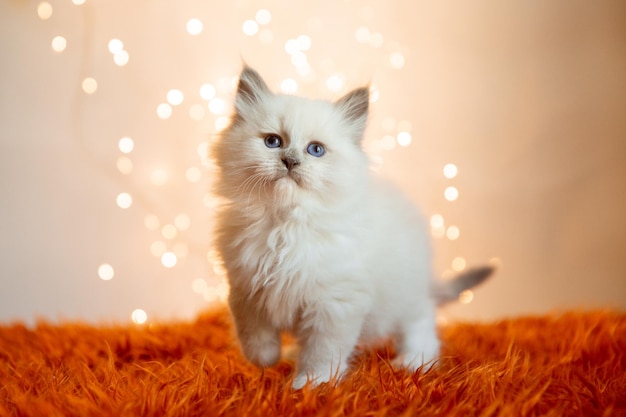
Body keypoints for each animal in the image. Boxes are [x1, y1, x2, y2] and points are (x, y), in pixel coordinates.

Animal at [210, 64, 492, 386]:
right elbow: (255, 338)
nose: (290, 161)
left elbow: (322, 352)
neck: (286, 224)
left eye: (315, 150)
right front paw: (268, 361)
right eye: (273, 142)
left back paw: (414, 362)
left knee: (421, 322)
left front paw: (309, 385)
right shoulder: (246, 291)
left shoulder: (334, 303)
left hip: (404, 297)